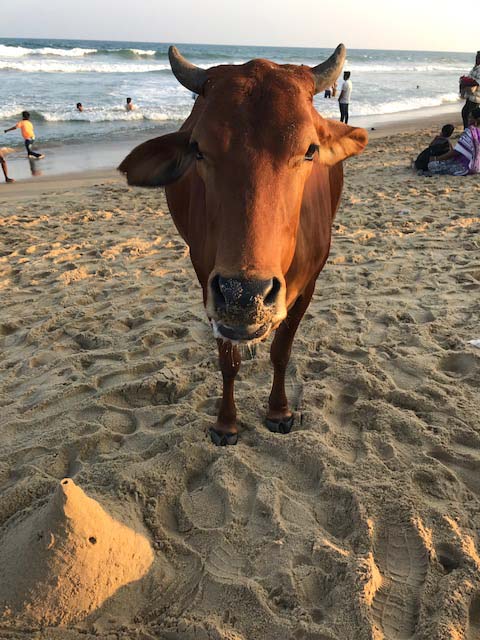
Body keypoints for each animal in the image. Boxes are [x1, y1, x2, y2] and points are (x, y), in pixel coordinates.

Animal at [119, 44, 367, 446]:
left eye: (310, 150)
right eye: (198, 149)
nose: (244, 295)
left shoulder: (309, 285)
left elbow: (281, 352)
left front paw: (279, 411)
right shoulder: (209, 287)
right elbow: (228, 361)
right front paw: (226, 422)